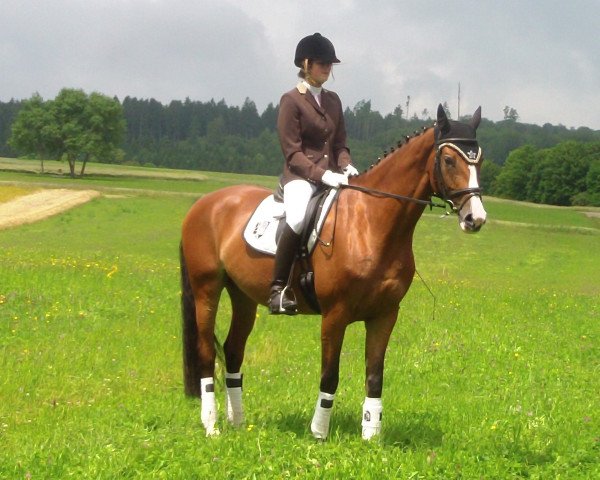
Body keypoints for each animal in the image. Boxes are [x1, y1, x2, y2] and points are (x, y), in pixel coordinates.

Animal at [179, 104, 488, 438]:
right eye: (449, 160)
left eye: (480, 159)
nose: (475, 218)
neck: (371, 222)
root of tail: (204, 203)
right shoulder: (334, 315)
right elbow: (330, 375)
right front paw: (319, 432)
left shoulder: (385, 315)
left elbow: (375, 377)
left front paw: (371, 437)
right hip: (207, 289)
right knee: (207, 353)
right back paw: (211, 425)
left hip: (243, 296)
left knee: (233, 350)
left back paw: (237, 422)